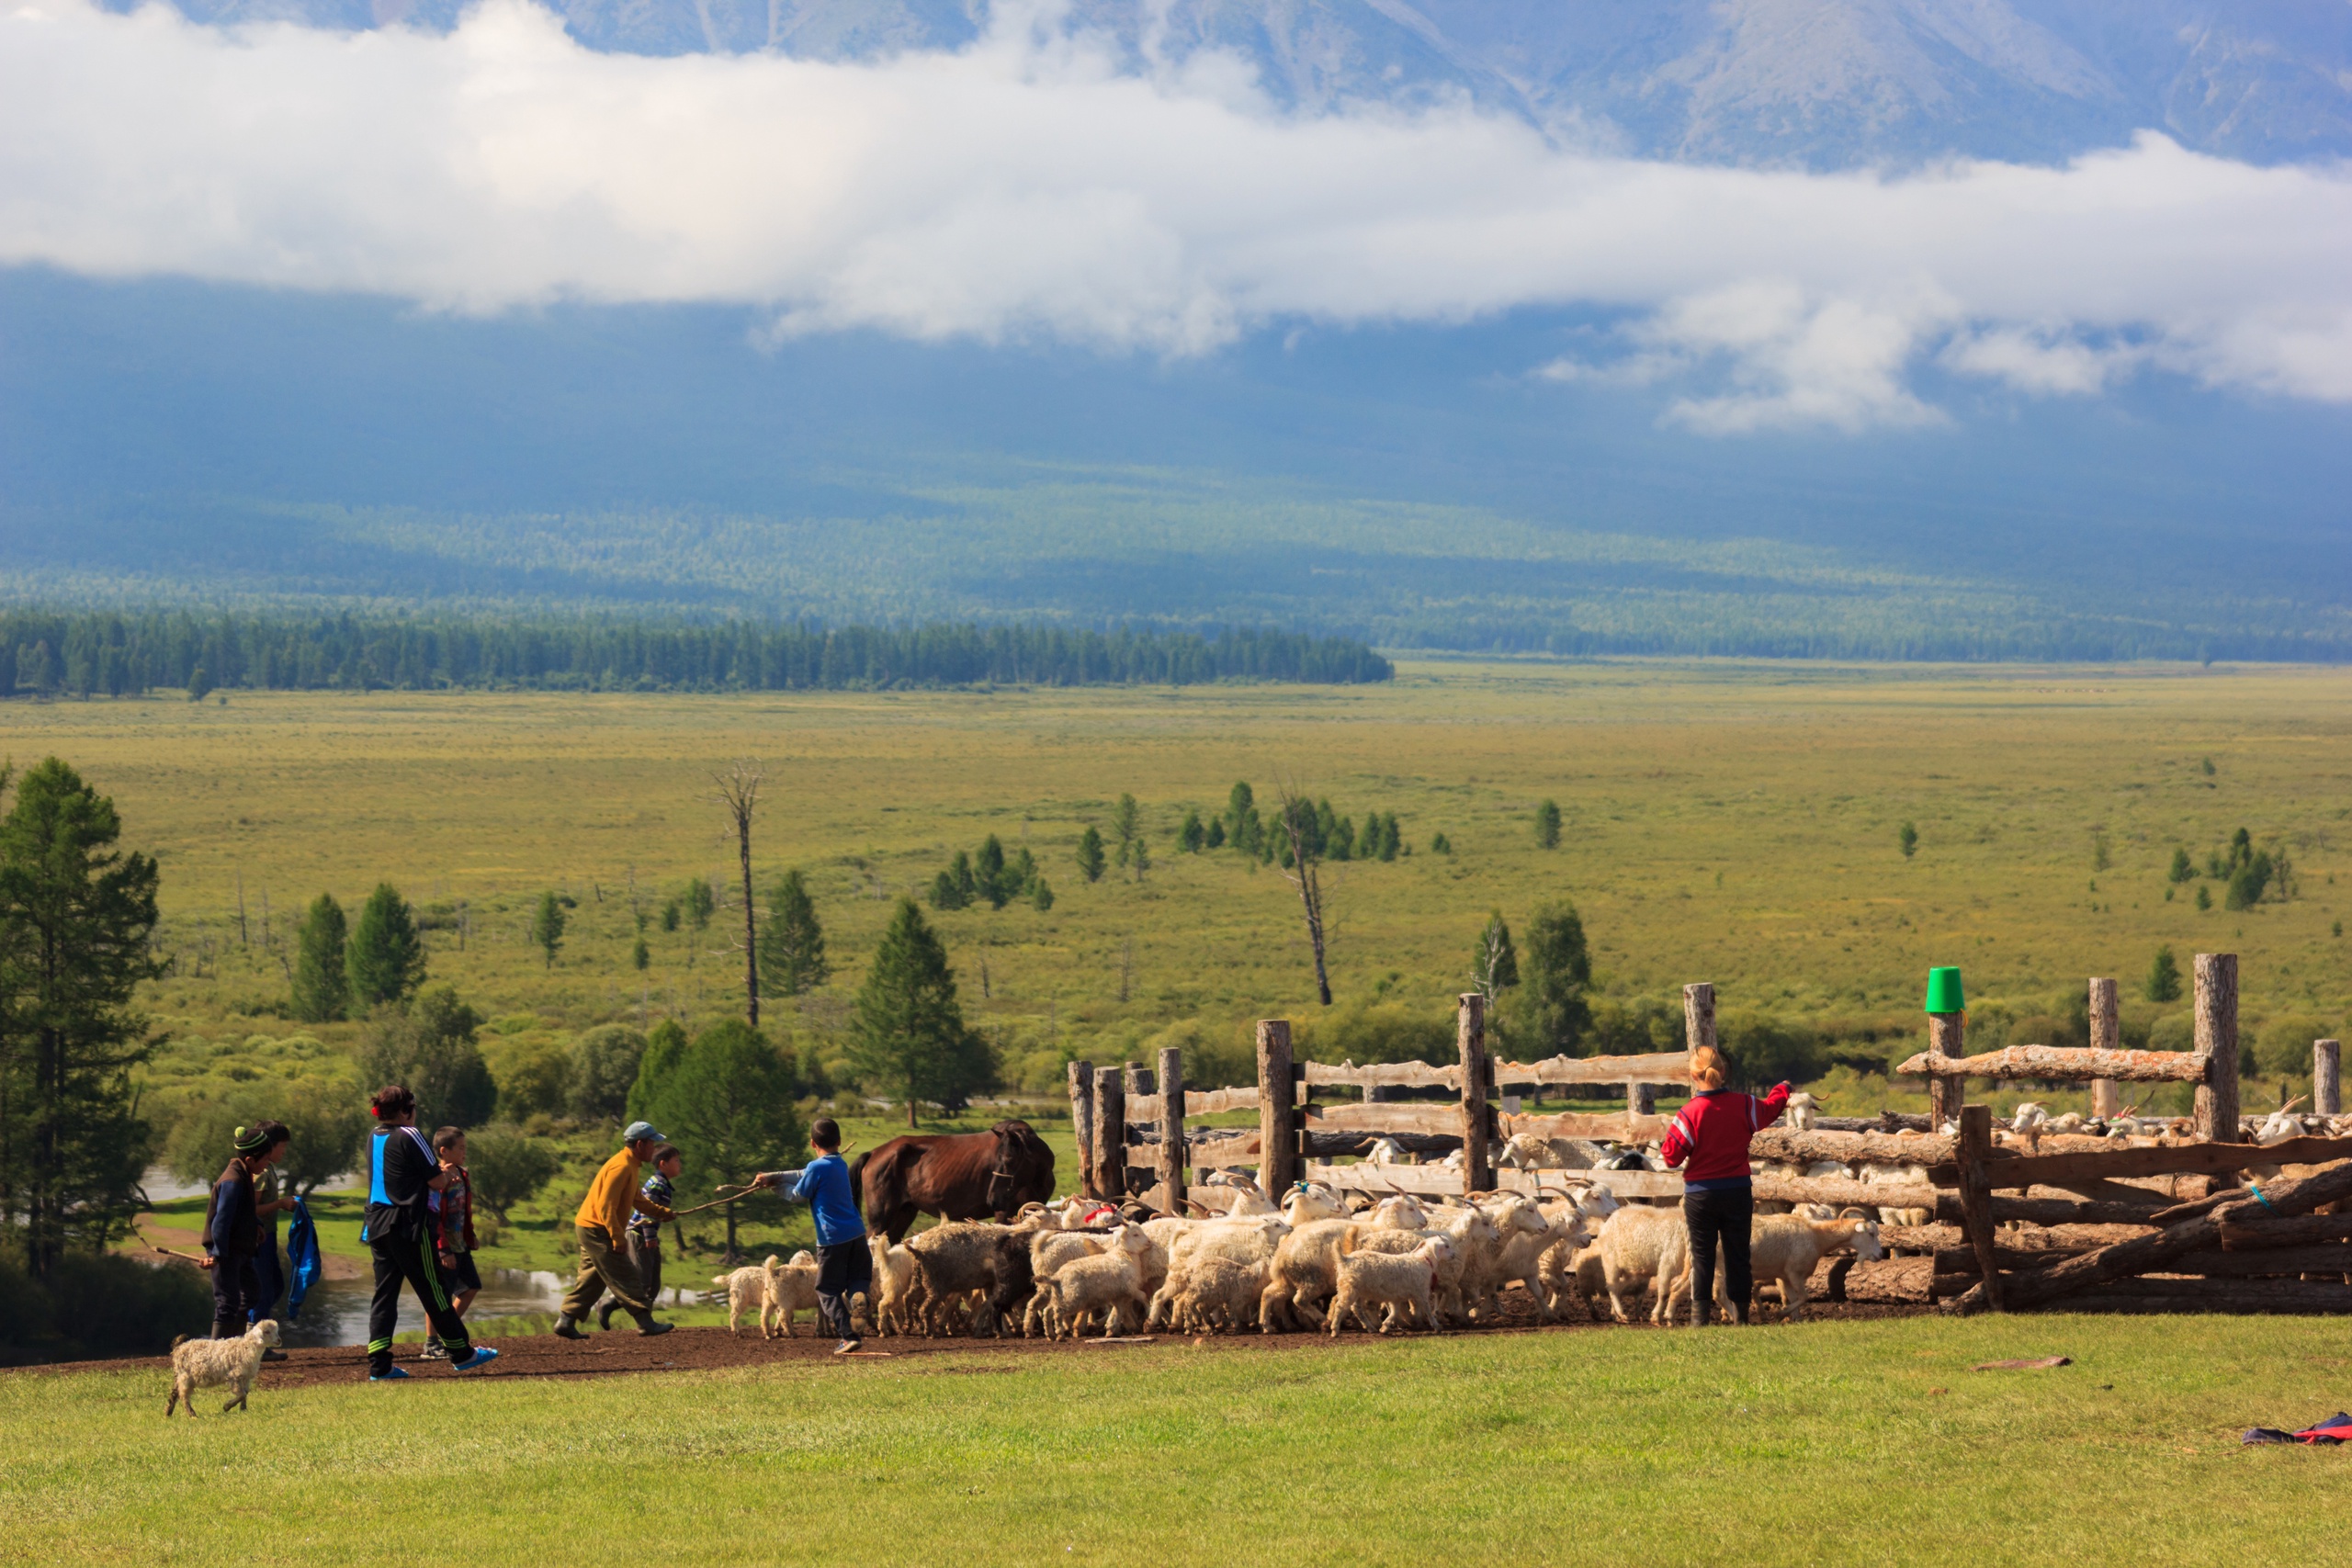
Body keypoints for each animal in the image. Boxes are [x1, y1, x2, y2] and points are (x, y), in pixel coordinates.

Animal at [851, 1123, 1053, 1241]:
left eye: (1009, 1160)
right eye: (998, 1159)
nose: (993, 1199)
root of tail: (874, 1153)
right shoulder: (1004, 1215)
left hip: (903, 1214)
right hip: (879, 1220)